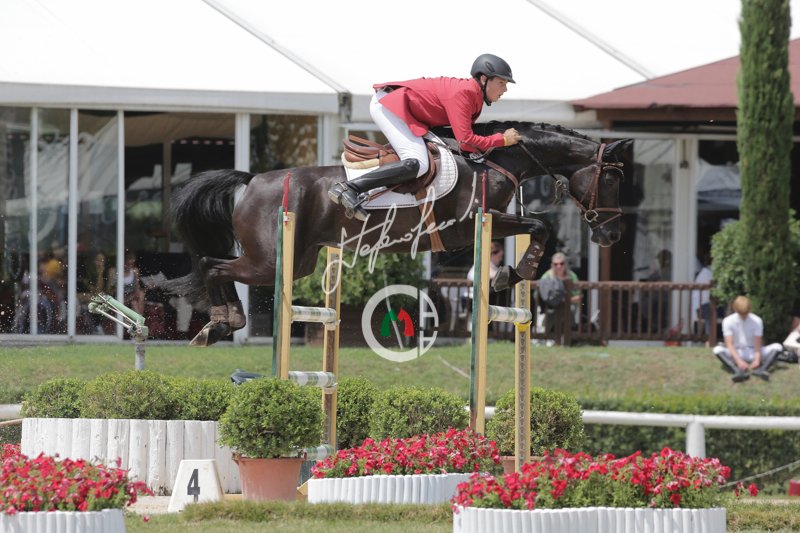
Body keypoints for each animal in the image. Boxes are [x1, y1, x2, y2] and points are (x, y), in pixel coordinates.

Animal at [165, 121, 631, 346]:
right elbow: (540, 225)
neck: (497, 162)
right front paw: (515, 272)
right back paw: (222, 323)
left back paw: (221, 323)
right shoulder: (474, 224)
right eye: (611, 180)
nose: (612, 236)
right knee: (212, 265)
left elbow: (538, 226)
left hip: (297, 262)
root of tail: (252, 180)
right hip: (268, 261)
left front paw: (512, 273)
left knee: (215, 265)